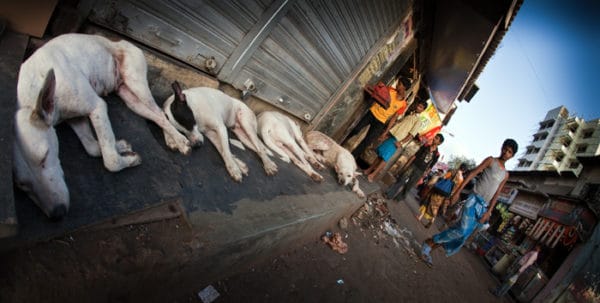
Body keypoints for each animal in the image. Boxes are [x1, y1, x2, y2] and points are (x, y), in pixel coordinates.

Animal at [13, 33, 190, 221]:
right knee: (156, 116)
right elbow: (94, 147)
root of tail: (123, 42)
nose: (57, 212)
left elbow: (110, 160)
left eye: (45, 157)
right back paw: (172, 140)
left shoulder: (97, 107)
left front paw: (130, 159)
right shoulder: (75, 118)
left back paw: (179, 141)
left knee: (161, 113)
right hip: (131, 100)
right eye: (21, 184)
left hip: (138, 86)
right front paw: (121, 146)